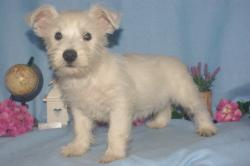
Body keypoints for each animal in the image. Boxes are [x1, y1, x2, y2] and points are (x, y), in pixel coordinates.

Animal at [26, 4, 216, 163]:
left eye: (87, 36)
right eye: (57, 35)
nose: (69, 55)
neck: (88, 76)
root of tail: (175, 60)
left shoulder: (119, 108)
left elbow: (115, 132)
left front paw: (113, 154)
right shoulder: (79, 109)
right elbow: (81, 130)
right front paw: (77, 148)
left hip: (186, 94)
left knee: (200, 109)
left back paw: (207, 128)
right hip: (160, 96)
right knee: (165, 107)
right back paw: (159, 123)